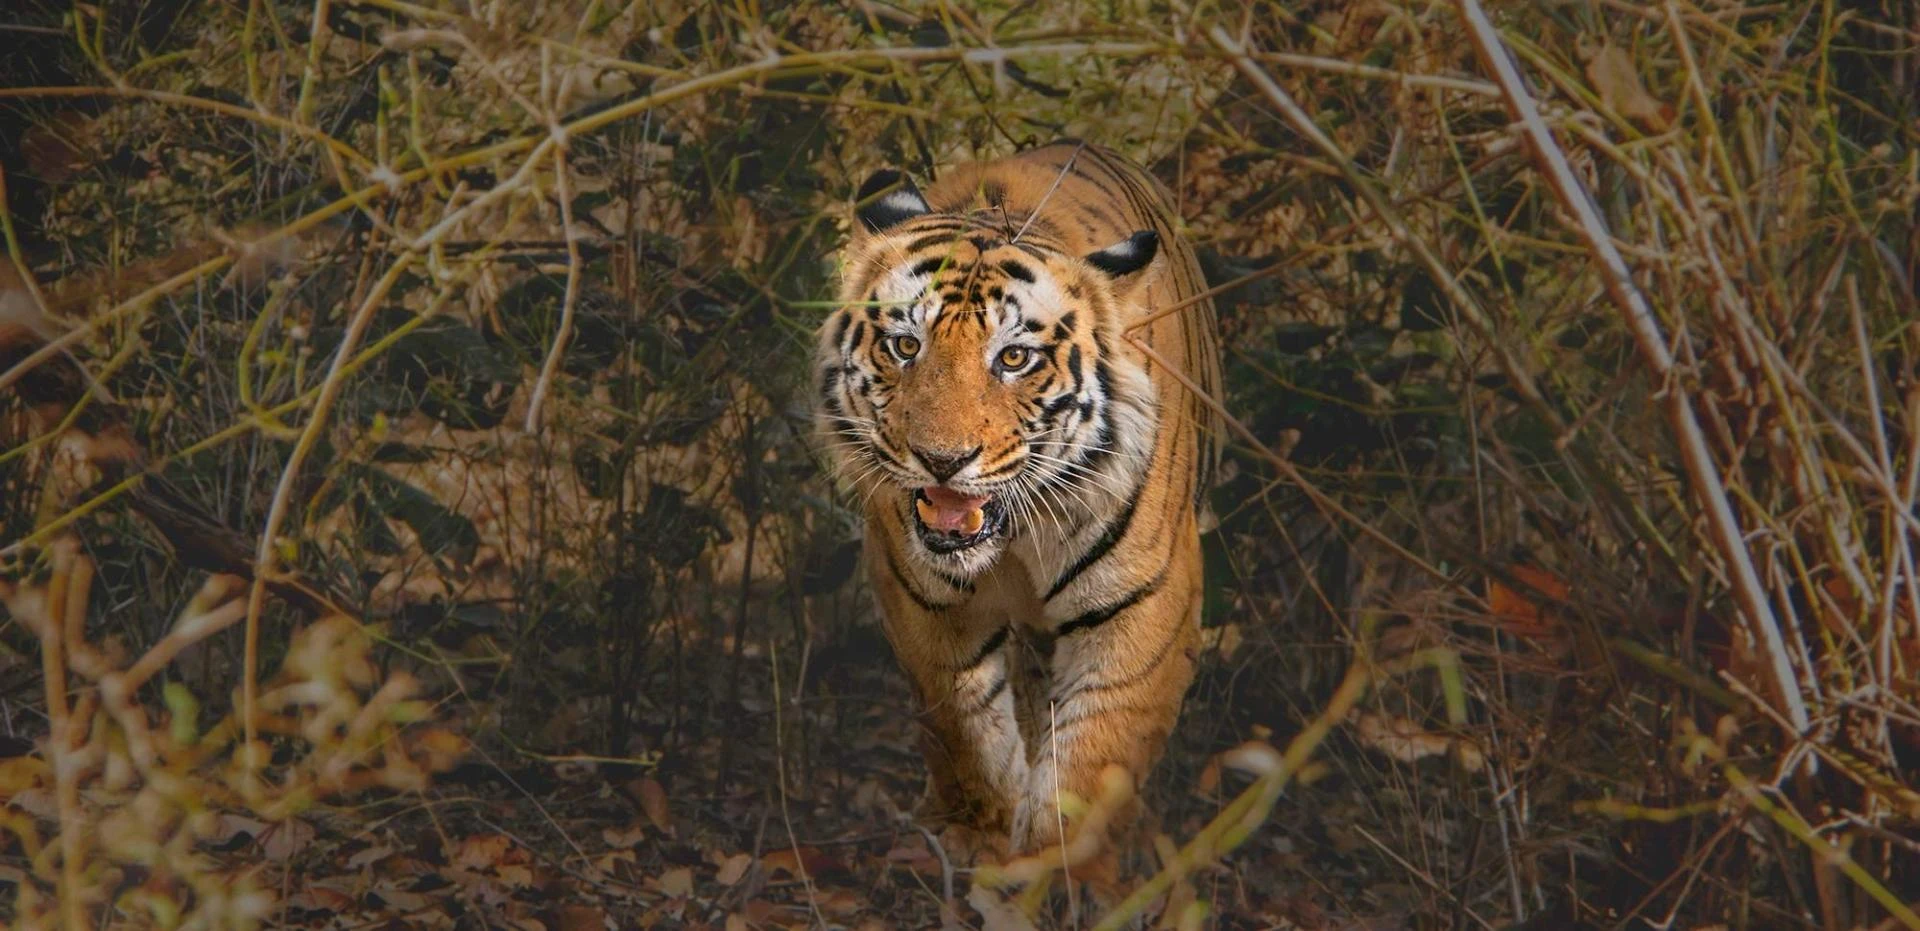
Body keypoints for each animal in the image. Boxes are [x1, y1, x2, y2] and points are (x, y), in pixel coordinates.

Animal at [813, 140, 1223, 860]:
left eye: (1014, 359)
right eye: (906, 345)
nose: (942, 459)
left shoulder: (1145, 603)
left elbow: (1092, 763)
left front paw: (1054, 866)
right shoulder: (921, 599)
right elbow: (965, 729)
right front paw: (983, 837)